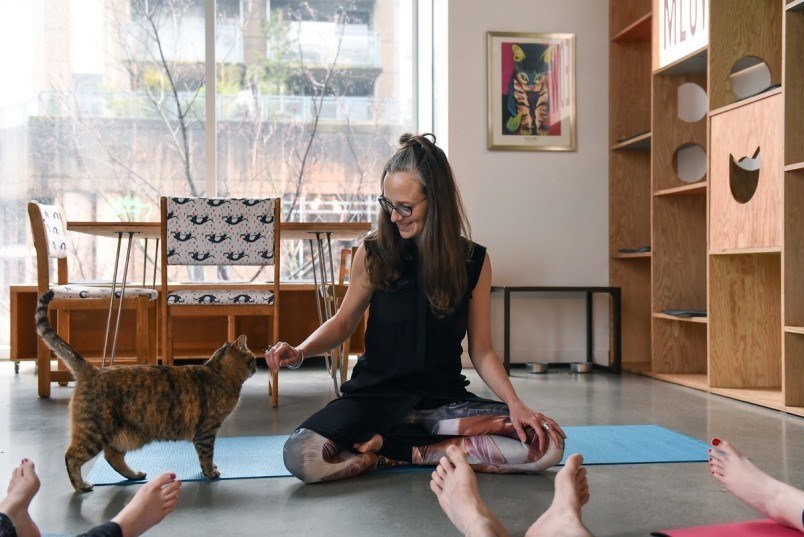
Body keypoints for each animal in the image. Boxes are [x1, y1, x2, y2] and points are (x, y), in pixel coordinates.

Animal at [33, 288, 254, 490]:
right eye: (252, 358)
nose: (255, 366)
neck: (218, 373)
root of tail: (92, 370)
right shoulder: (207, 430)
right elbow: (206, 455)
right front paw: (210, 472)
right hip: (94, 431)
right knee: (71, 456)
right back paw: (81, 485)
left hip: (122, 433)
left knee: (112, 456)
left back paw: (134, 475)